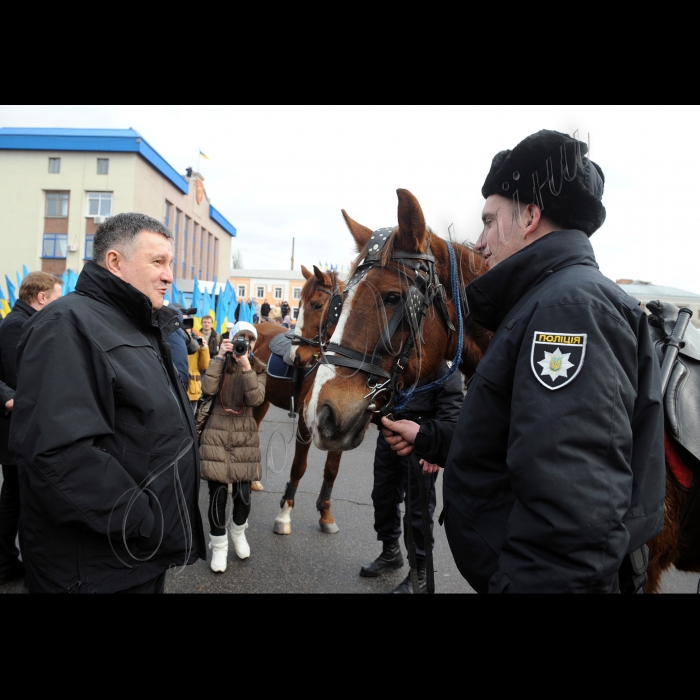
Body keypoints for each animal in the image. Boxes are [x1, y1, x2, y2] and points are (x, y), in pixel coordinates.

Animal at [254, 266, 348, 532]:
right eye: (299, 306)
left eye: (317, 305)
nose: (297, 357)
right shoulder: (306, 424)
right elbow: (298, 467)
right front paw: (284, 514)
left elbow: (331, 470)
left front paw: (326, 514)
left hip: (262, 402)